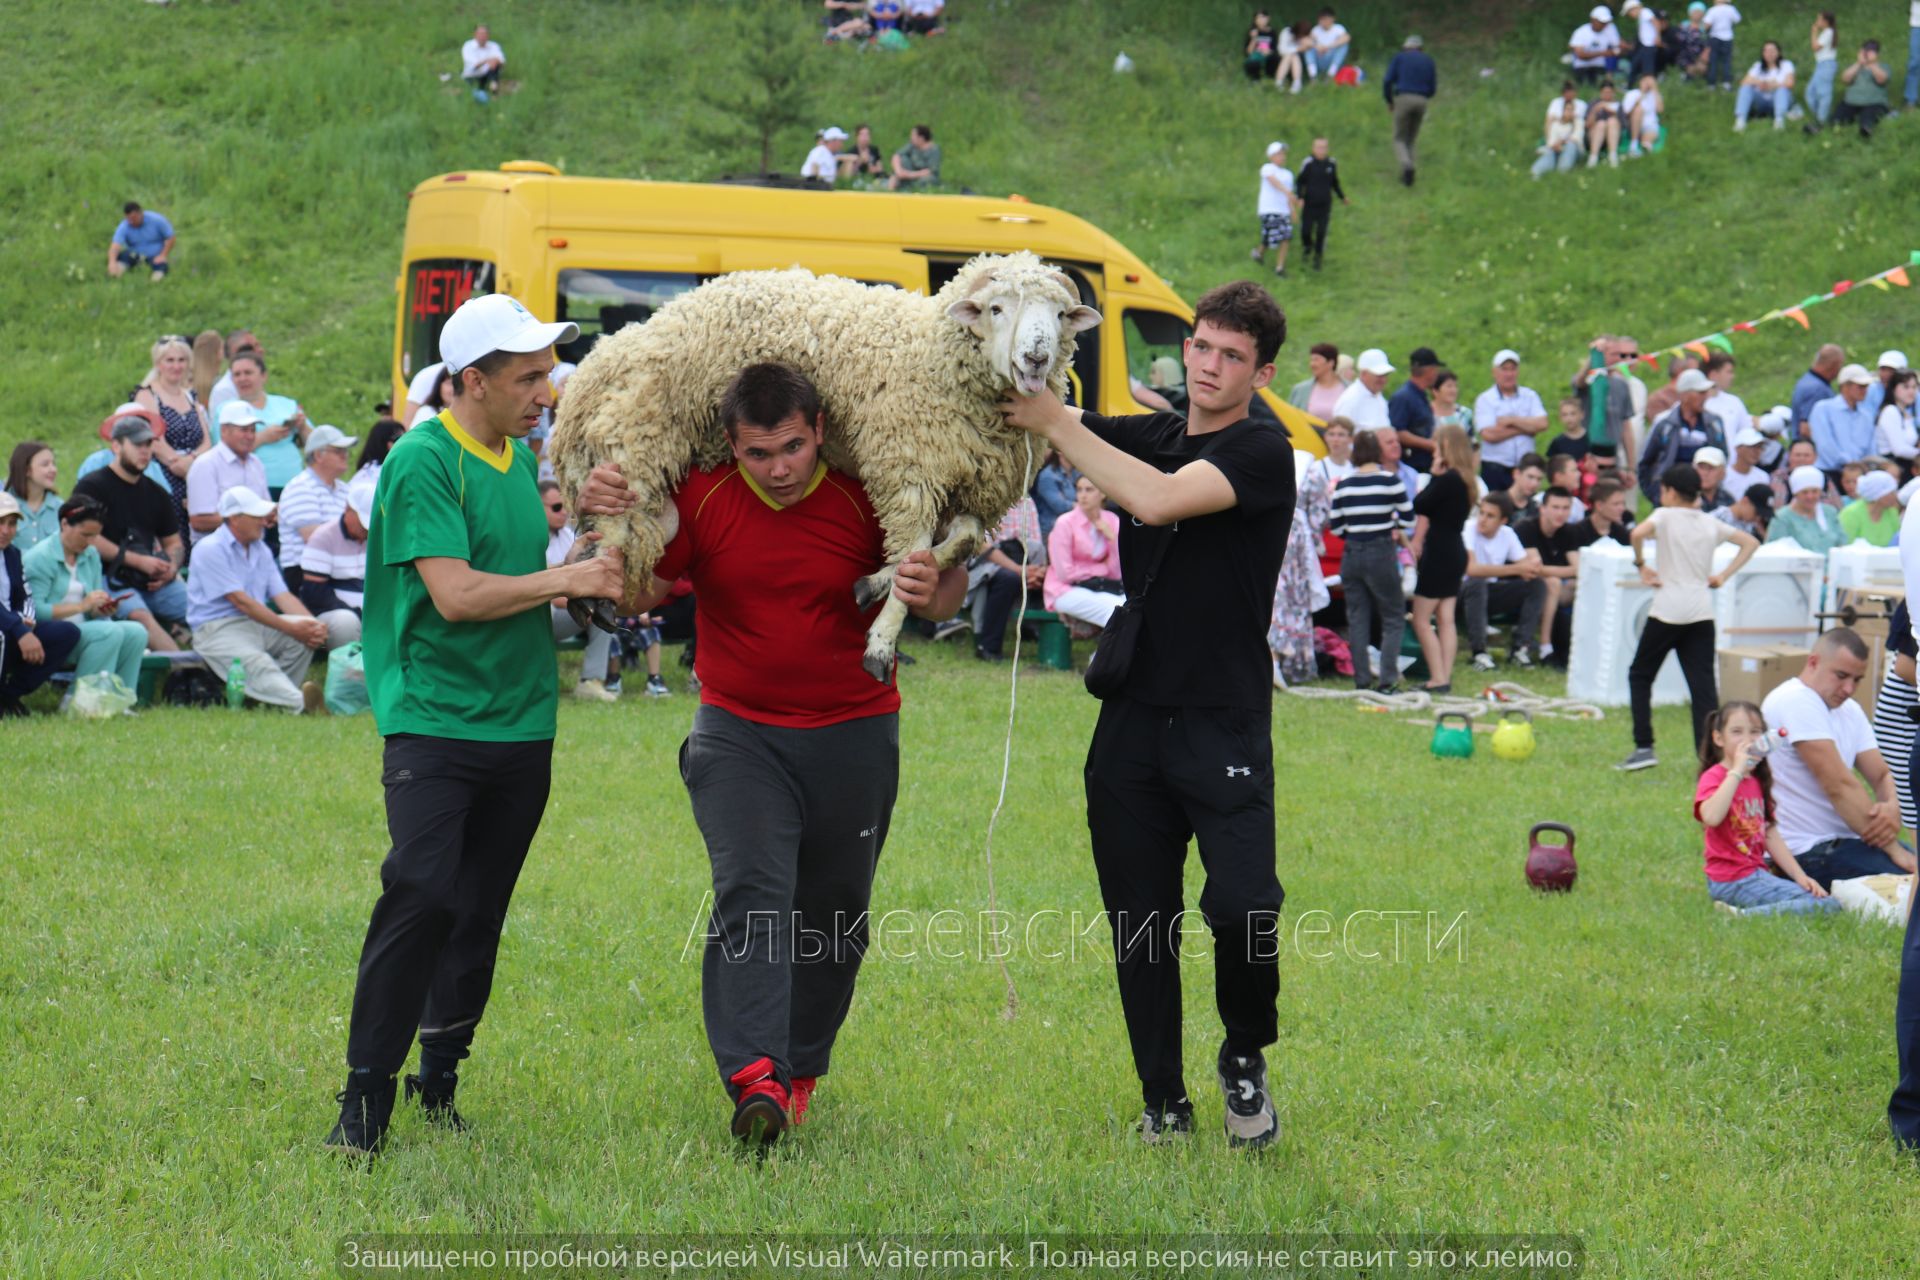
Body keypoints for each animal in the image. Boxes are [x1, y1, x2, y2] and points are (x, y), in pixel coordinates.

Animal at [549, 249, 1105, 679]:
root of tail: (611, 349)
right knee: (618, 522)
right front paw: (881, 641)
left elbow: (957, 543)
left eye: (1059, 314)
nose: (1036, 358)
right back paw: (594, 590)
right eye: (995, 308)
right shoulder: (906, 468)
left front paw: (876, 582)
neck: (932, 354)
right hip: (638, 433)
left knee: (643, 529)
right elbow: (913, 551)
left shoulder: (973, 488)